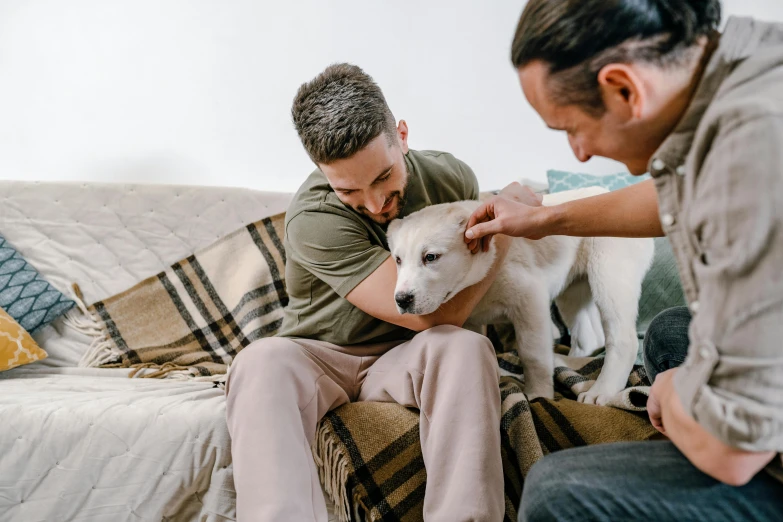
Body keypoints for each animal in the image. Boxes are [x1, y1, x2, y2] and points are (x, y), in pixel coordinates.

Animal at [388, 187, 656, 402]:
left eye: (431, 257)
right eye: (398, 260)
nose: (401, 300)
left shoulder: (530, 298)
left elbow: (532, 353)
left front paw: (539, 394)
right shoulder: (471, 319)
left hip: (609, 275)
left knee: (623, 338)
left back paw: (603, 391)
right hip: (572, 291)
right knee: (589, 338)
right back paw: (567, 364)